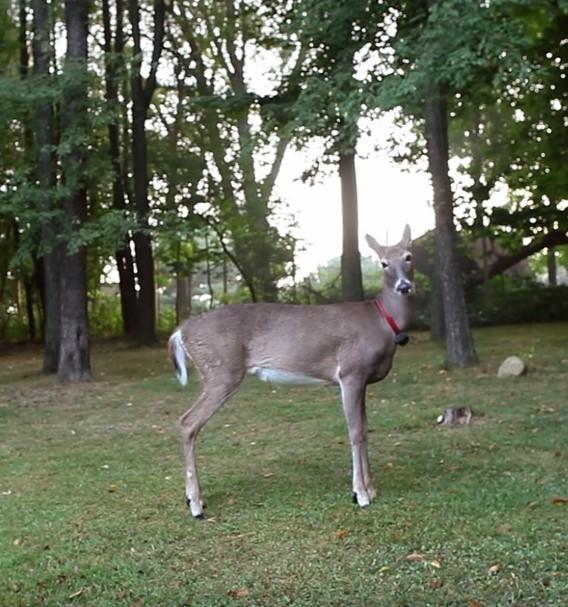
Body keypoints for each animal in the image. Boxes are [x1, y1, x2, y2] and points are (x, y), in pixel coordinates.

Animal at [168, 226, 412, 520]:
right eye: (383, 263)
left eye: (409, 256)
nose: (404, 286)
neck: (382, 322)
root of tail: (180, 332)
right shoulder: (350, 372)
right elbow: (355, 432)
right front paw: (360, 494)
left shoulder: (362, 380)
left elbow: (364, 428)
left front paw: (371, 489)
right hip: (221, 370)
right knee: (187, 422)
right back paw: (195, 504)